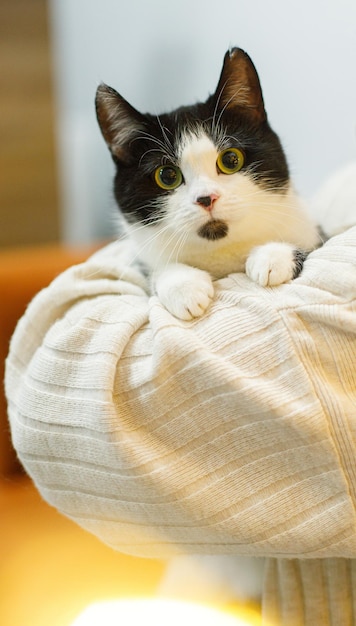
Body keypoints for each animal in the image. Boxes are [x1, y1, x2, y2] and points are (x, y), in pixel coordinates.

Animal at [95, 46, 320, 320]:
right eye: (167, 175)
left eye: (231, 159)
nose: (206, 198)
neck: (221, 251)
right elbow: (156, 270)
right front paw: (183, 286)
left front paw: (273, 256)